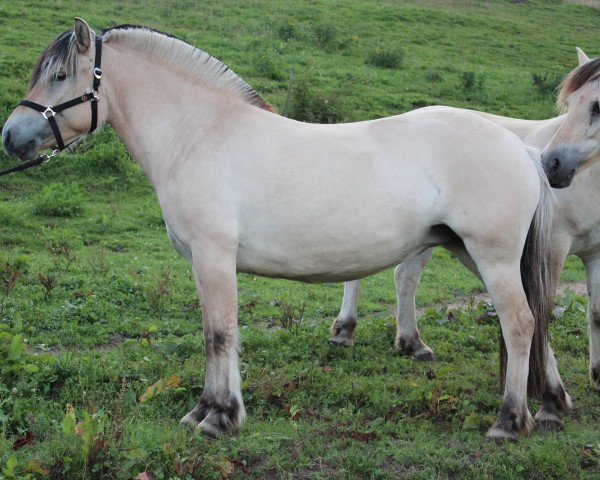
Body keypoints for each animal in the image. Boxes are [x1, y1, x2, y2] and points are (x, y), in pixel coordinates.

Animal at [3, 18, 552, 440]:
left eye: (58, 75)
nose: (10, 137)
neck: (200, 135)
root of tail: (523, 148)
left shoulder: (214, 256)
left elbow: (221, 333)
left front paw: (220, 417)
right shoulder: (203, 263)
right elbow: (213, 334)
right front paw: (205, 410)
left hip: (491, 256)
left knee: (519, 323)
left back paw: (509, 421)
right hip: (470, 253)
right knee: (534, 318)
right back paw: (548, 404)